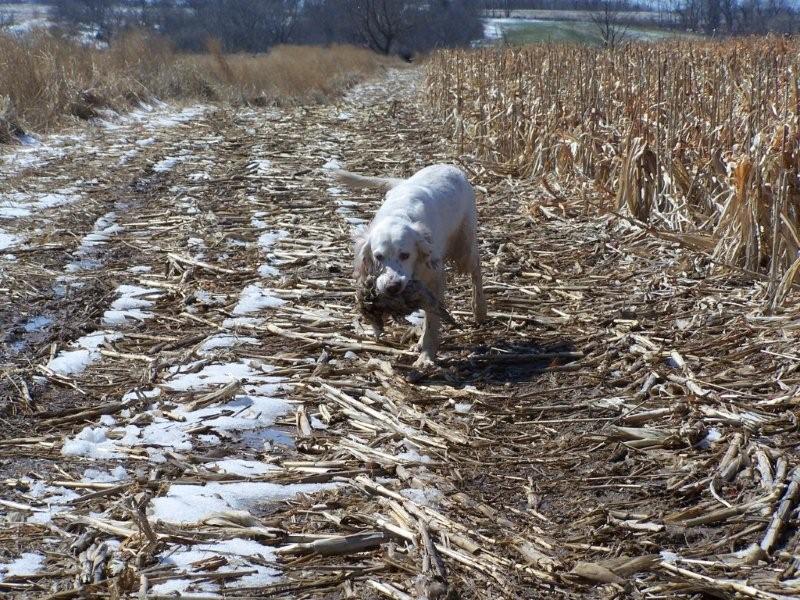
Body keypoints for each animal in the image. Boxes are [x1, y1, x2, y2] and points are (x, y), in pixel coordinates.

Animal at [332, 163, 488, 366]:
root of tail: (449, 166)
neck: (399, 215)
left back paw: (479, 309)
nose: (392, 287)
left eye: (405, 255)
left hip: (465, 248)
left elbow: (432, 321)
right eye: (378, 256)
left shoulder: (435, 280)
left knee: (476, 270)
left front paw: (426, 356)